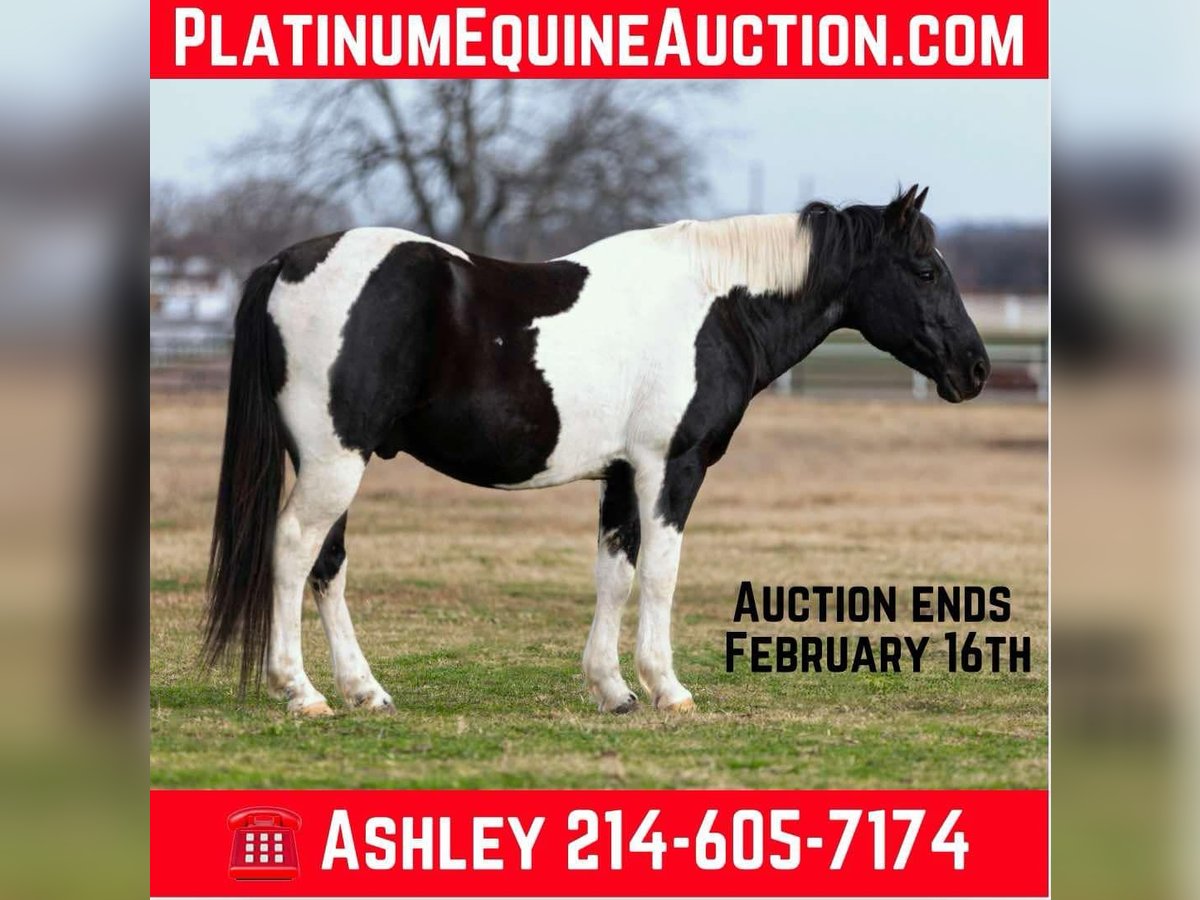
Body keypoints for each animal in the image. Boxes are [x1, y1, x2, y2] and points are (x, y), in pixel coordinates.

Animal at [202, 184, 990, 717]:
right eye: (925, 272)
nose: (976, 368)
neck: (719, 303)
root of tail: (285, 262)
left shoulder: (619, 476)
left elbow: (615, 572)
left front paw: (612, 690)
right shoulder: (671, 468)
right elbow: (662, 575)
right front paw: (668, 687)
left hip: (335, 463)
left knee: (327, 563)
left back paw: (364, 690)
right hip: (334, 462)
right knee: (294, 549)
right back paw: (301, 691)